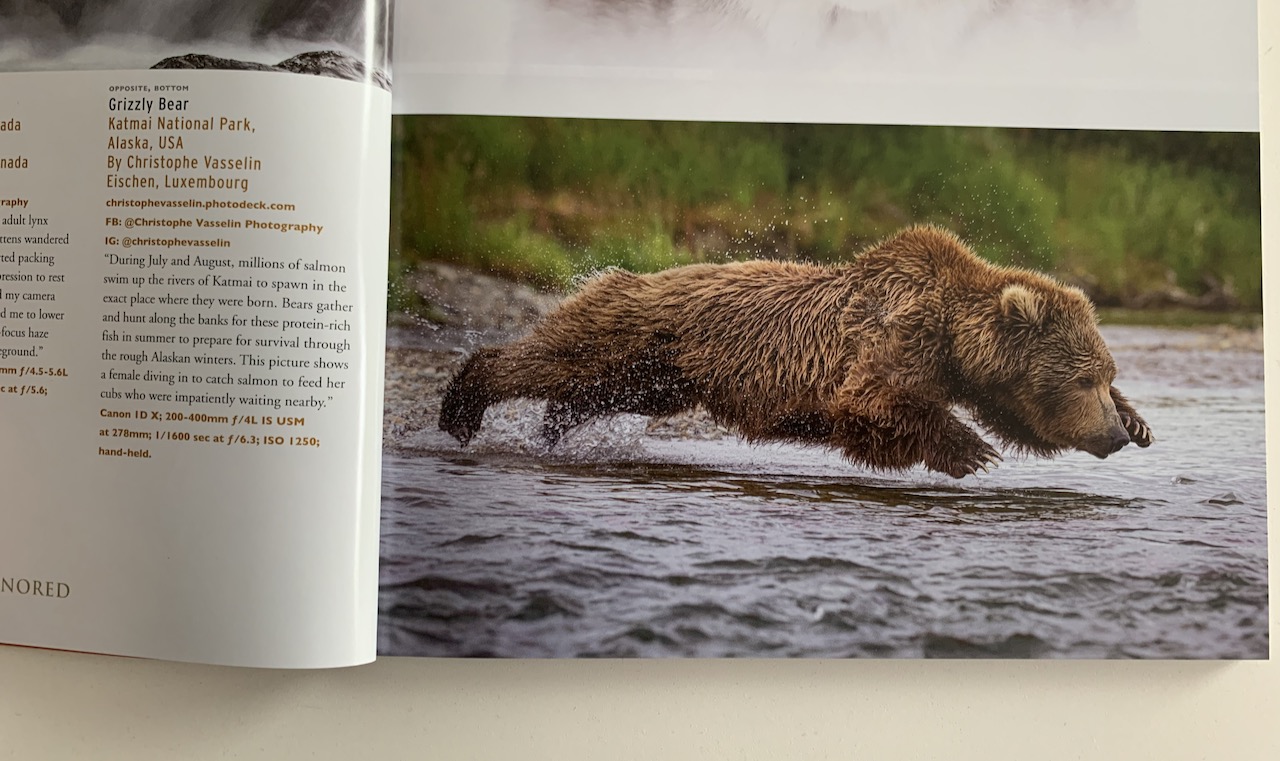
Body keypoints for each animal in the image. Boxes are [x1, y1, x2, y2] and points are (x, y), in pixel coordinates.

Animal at [438, 225, 1153, 478]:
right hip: (631, 328)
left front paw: (1142, 419)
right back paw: (462, 406)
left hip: (655, 372)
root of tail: (614, 273)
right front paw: (969, 450)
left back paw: (553, 428)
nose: (1115, 436)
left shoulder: (976, 375)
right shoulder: (895, 336)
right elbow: (870, 401)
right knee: (552, 360)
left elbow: (1017, 415)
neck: (953, 340)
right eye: (1082, 378)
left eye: (1105, 372)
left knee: (588, 392)